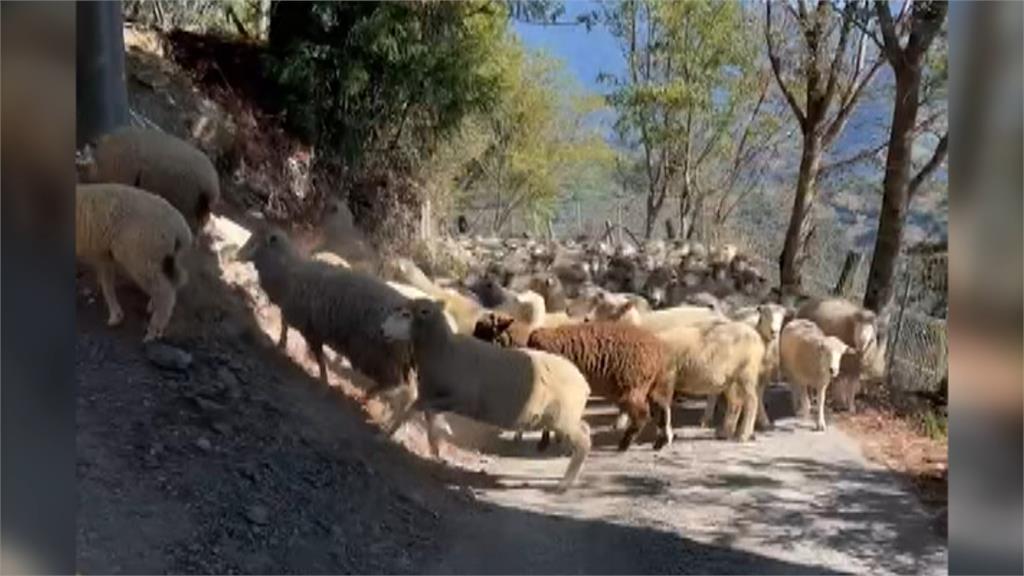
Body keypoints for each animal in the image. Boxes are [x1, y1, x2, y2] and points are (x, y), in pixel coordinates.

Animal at [76, 181, 193, 338]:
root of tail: (181, 230)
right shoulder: (103, 254)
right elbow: (107, 283)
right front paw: (116, 315)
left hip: (141, 257)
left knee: (165, 292)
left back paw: (154, 329)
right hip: (153, 259)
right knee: (164, 285)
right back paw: (152, 307)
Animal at [382, 297, 593, 491]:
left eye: (406, 314)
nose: (382, 330)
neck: (444, 350)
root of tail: (583, 383)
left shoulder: (460, 400)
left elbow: (415, 409)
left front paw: (388, 434)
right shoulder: (431, 394)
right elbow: (422, 413)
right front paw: (433, 448)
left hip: (564, 419)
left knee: (583, 441)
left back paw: (565, 483)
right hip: (561, 418)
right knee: (585, 429)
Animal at [475, 311, 675, 450]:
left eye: (486, 333)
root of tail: (661, 351)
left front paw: (545, 442)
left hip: (633, 387)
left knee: (643, 414)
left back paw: (624, 444)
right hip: (656, 385)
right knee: (662, 409)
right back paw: (661, 441)